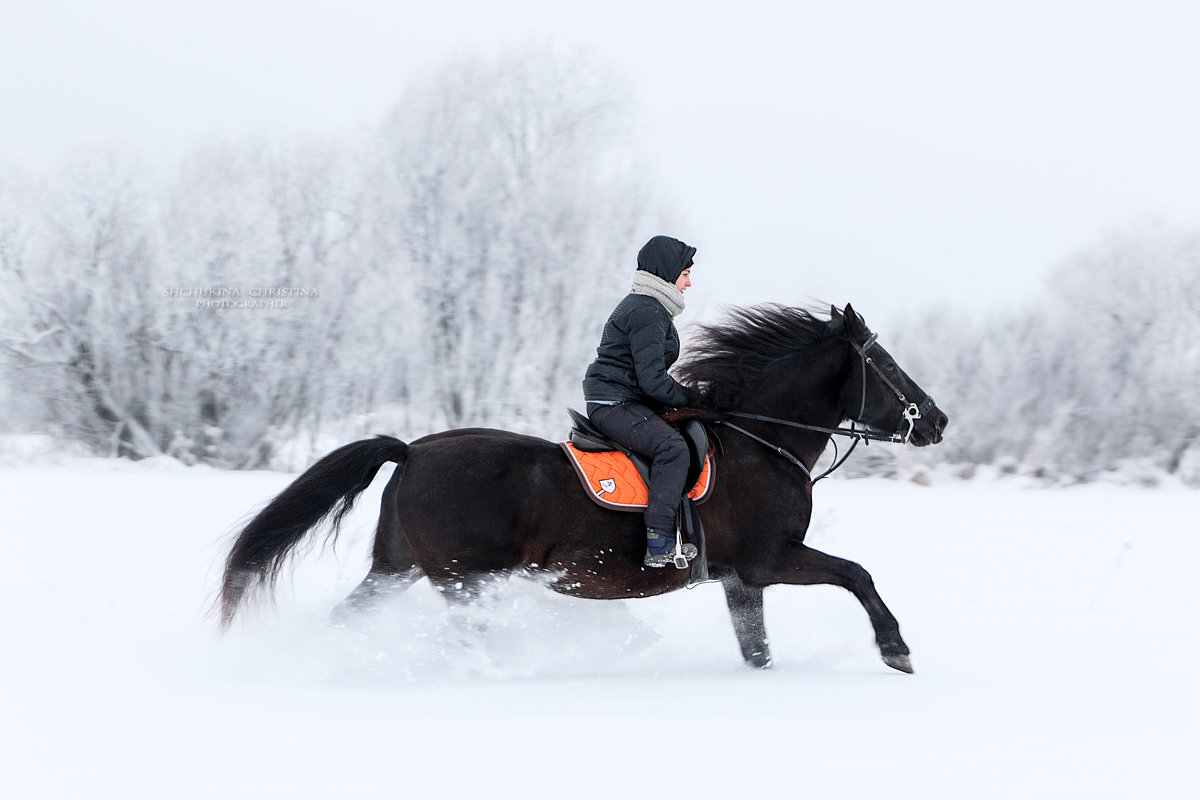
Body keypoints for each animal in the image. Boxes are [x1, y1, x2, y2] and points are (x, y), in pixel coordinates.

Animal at [218, 303, 945, 671]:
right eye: (884, 365)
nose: (936, 420)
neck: (761, 442)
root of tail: (411, 451)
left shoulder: (742, 580)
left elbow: (757, 649)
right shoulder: (770, 559)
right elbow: (858, 575)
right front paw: (897, 650)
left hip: (399, 569)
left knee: (351, 618)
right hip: (464, 580)